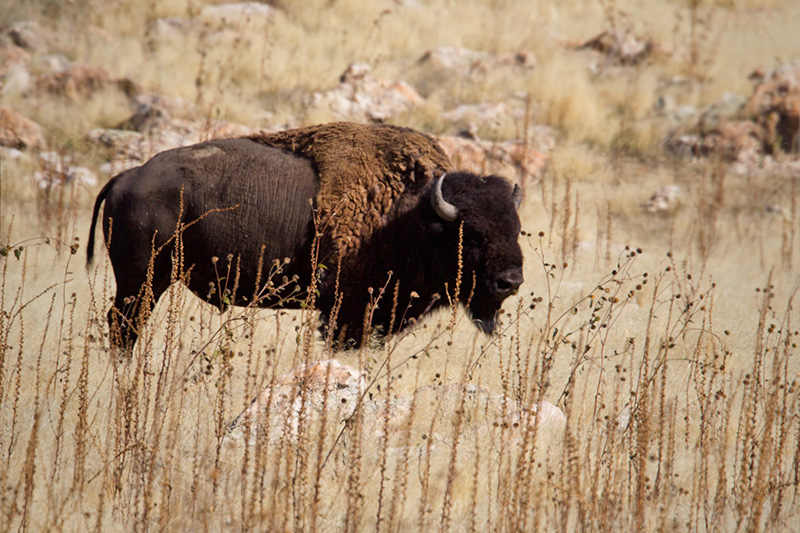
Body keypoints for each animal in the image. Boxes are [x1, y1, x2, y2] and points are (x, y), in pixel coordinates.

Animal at [89, 122, 524, 352]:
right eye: (472, 234)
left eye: (516, 228)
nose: (511, 281)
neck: (411, 214)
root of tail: (126, 178)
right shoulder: (346, 311)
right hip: (141, 281)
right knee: (124, 325)